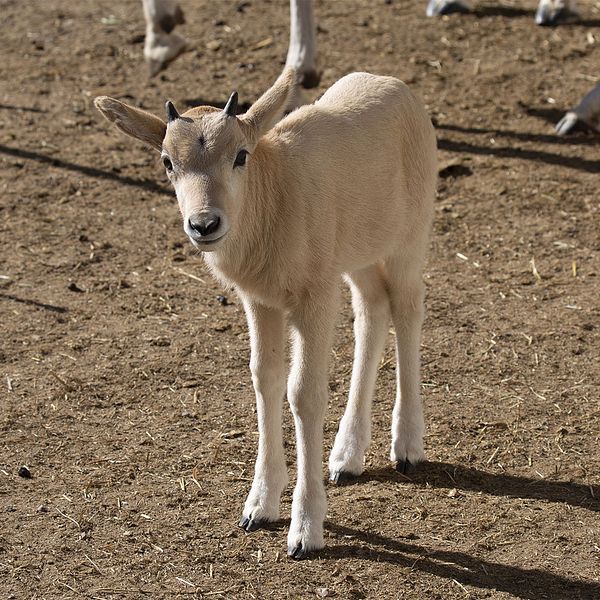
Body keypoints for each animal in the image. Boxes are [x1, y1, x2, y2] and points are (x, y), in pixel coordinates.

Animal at [96, 69, 438, 556]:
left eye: (241, 155)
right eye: (166, 161)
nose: (204, 224)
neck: (273, 194)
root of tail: (393, 84)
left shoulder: (314, 295)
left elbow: (305, 394)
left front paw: (306, 529)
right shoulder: (260, 299)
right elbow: (265, 378)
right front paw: (258, 507)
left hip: (410, 234)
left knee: (407, 305)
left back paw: (407, 445)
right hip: (358, 251)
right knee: (373, 308)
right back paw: (346, 455)